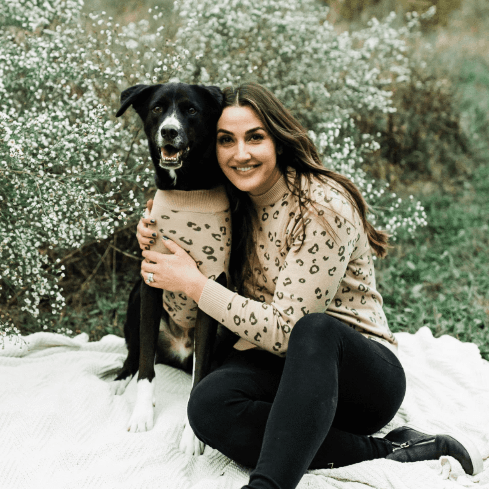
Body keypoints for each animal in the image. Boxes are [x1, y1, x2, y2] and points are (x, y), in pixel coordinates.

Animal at [111, 83, 234, 454]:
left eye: (191, 110)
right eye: (157, 108)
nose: (169, 131)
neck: (186, 190)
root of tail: (178, 351)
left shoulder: (211, 287)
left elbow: (200, 377)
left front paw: (192, 434)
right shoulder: (151, 281)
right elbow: (145, 365)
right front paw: (141, 412)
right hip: (136, 296)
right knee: (138, 353)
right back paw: (122, 379)